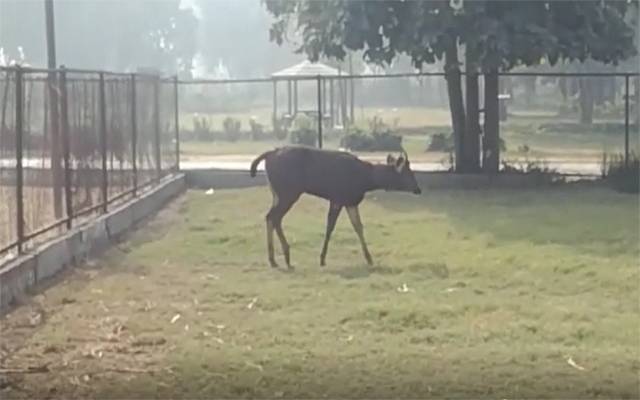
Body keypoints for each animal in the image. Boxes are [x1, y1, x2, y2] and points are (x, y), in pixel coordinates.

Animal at [249, 145, 422, 269]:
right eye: (409, 173)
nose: (418, 189)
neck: (365, 180)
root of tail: (269, 155)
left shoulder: (350, 201)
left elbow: (358, 226)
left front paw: (369, 259)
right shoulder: (338, 198)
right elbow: (330, 227)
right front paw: (322, 259)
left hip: (277, 193)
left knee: (269, 216)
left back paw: (273, 259)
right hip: (288, 191)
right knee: (274, 217)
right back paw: (285, 257)